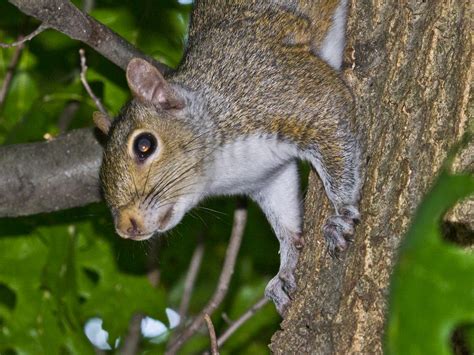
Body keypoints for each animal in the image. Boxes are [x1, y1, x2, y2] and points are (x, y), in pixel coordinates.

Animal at [92, 0, 362, 318]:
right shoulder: (268, 177)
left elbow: (332, 120)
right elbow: (285, 223)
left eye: (144, 145)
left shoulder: (285, 90)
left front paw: (341, 213)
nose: (125, 227)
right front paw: (286, 269)